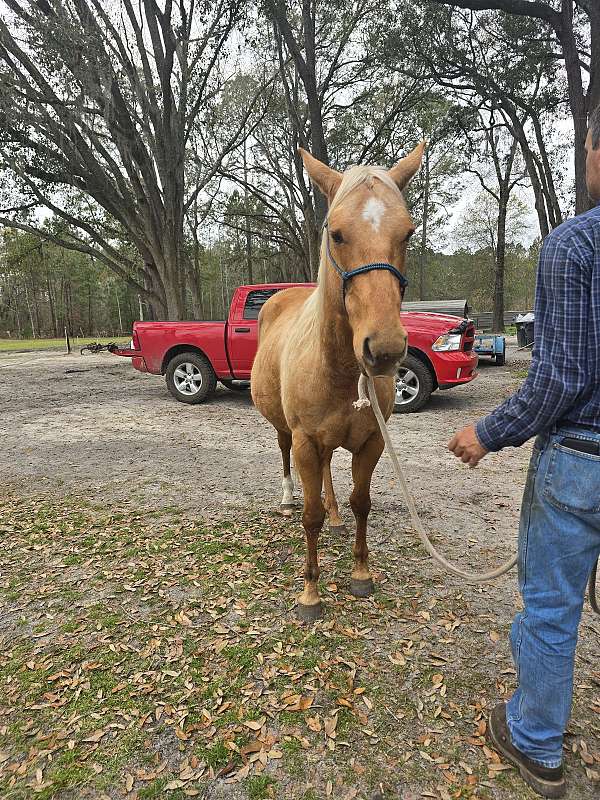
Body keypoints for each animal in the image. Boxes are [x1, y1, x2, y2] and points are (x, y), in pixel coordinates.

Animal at [251, 142, 424, 620]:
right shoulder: (307, 441)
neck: (340, 370)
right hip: (285, 432)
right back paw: (288, 498)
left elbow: (361, 503)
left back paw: (334, 515)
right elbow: (308, 516)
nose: (384, 349)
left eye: (407, 233)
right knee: (285, 456)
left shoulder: (372, 442)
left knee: (330, 472)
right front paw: (310, 592)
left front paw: (361, 573)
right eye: (337, 234)